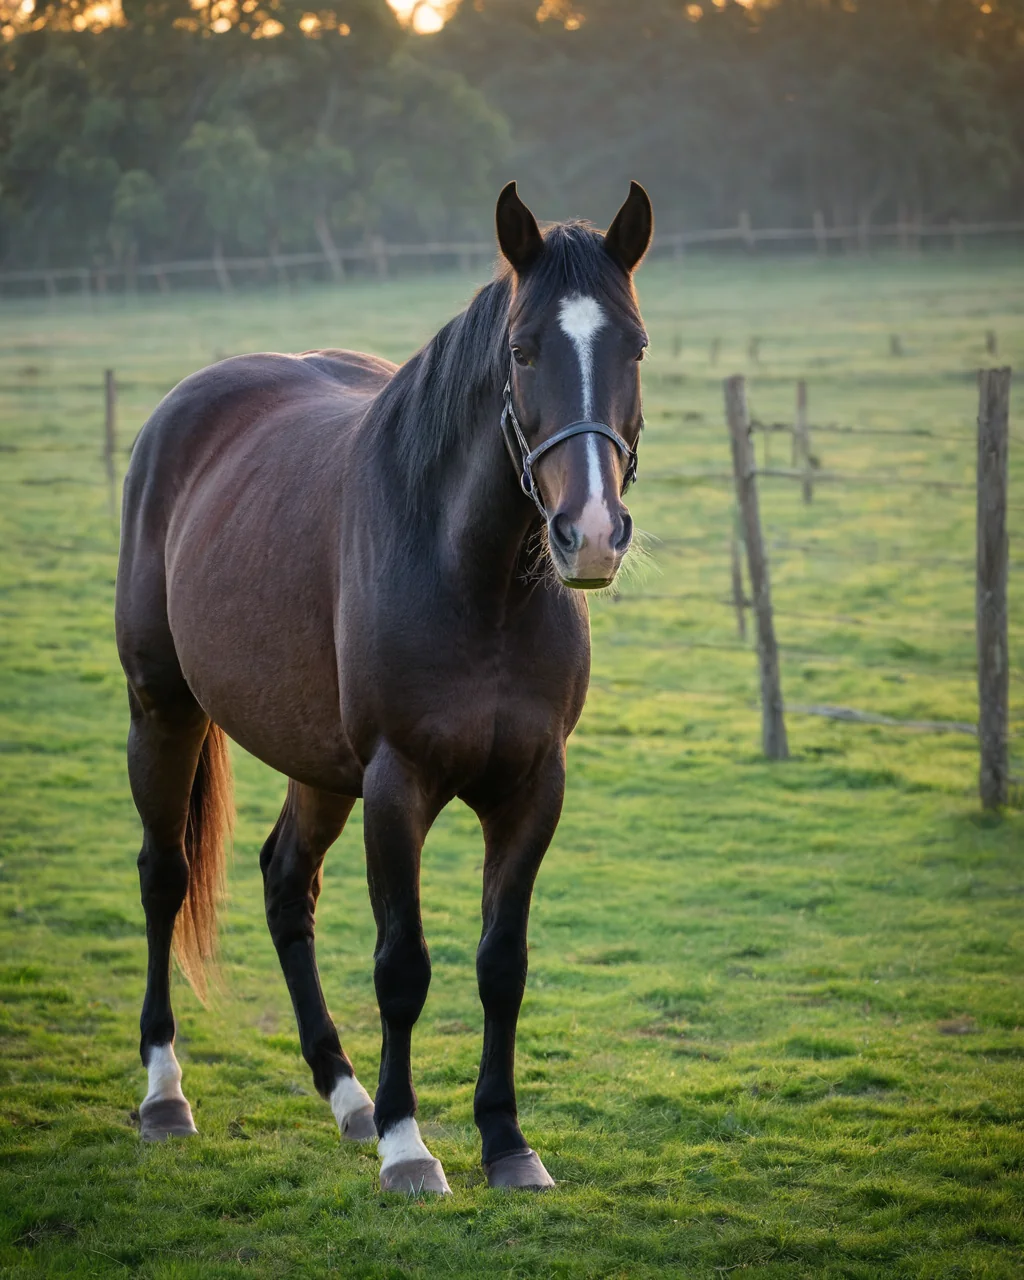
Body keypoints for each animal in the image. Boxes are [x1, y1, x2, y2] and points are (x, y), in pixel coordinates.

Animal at [115, 180, 653, 1194]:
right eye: (522, 349)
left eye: (634, 346)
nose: (590, 534)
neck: (475, 580)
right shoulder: (397, 784)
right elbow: (404, 965)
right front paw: (411, 1148)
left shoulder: (533, 786)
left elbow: (502, 963)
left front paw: (506, 1142)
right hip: (163, 711)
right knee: (164, 878)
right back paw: (167, 1094)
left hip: (318, 765)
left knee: (287, 885)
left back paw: (347, 1095)